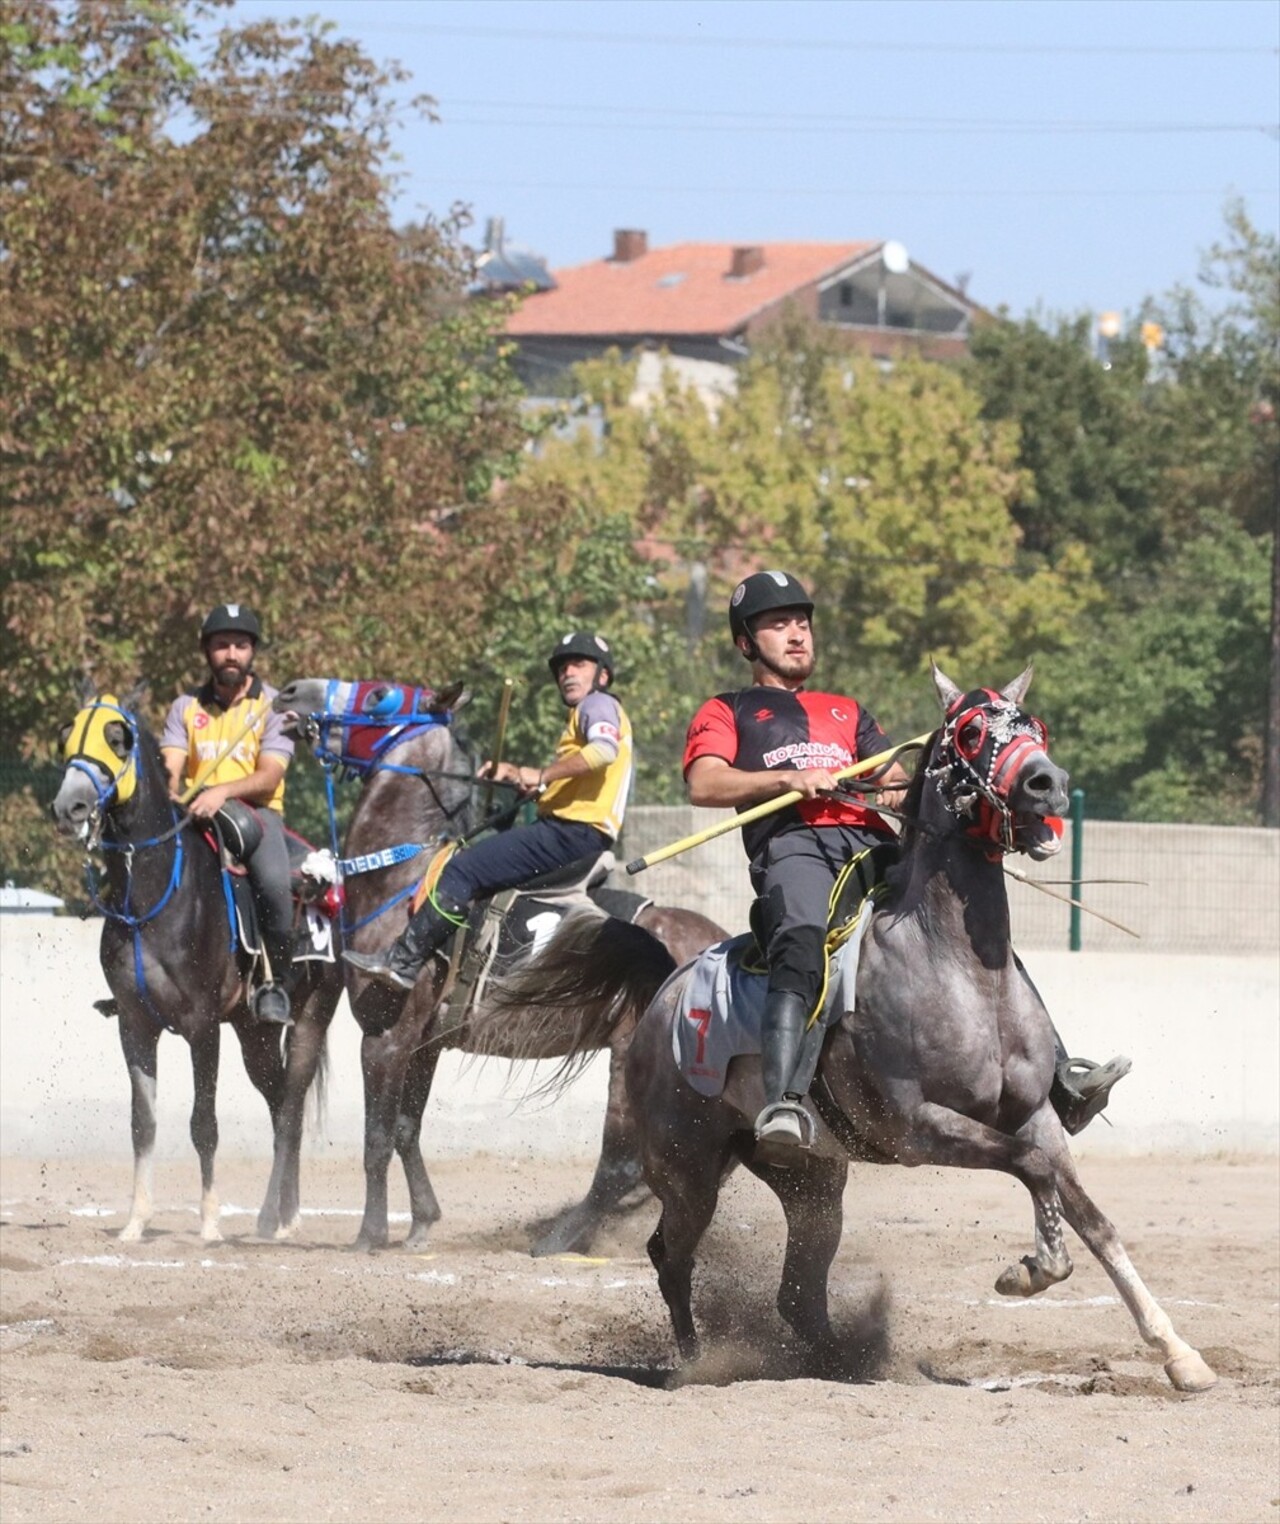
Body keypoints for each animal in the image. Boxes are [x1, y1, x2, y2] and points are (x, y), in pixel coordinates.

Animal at [51, 685, 344, 1243]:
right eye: (66, 735)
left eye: (118, 739)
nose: (69, 806)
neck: (152, 897)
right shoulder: (135, 1026)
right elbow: (143, 1123)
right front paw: (136, 1222)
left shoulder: (202, 1027)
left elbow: (202, 1124)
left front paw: (208, 1223)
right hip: (254, 1034)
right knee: (280, 1105)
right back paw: (279, 1214)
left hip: (309, 1019)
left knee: (290, 1109)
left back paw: (282, 1218)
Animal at [496, 667, 1212, 1395]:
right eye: (970, 731)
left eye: (1034, 726)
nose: (1048, 783)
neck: (956, 966)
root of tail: (666, 993)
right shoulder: (916, 1126)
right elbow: (1031, 1169)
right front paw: (1032, 1269)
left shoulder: (1034, 1114)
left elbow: (1092, 1217)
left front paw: (1179, 1352)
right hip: (689, 1167)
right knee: (670, 1255)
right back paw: (697, 1362)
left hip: (810, 1181)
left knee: (797, 1294)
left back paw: (841, 1362)